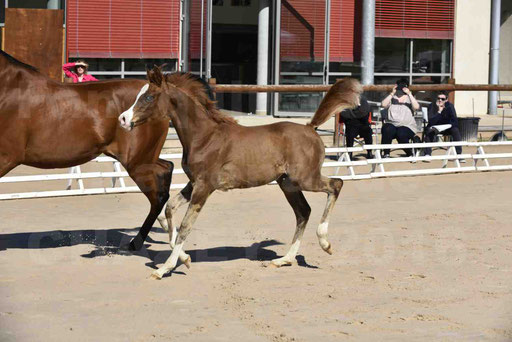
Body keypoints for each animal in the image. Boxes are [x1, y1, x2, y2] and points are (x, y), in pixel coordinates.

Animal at [0, 49, 172, 250]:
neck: (8, 88)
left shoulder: (6, 157)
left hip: (138, 161)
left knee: (157, 195)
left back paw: (137, 243)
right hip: (144, 157)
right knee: (166, 169)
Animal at [118, 67, 362, 278]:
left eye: (148, 97)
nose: (123, 119)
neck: (204, 136)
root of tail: (310, 127)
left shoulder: (204, 187)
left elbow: (186, 225)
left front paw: (164, 268)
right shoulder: (193, 183)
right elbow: (169, 209)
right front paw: (184, 259)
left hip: (305, 178)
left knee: (336, 184)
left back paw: (325, 243)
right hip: (287, 184)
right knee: (303, 212)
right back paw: (285, 259)